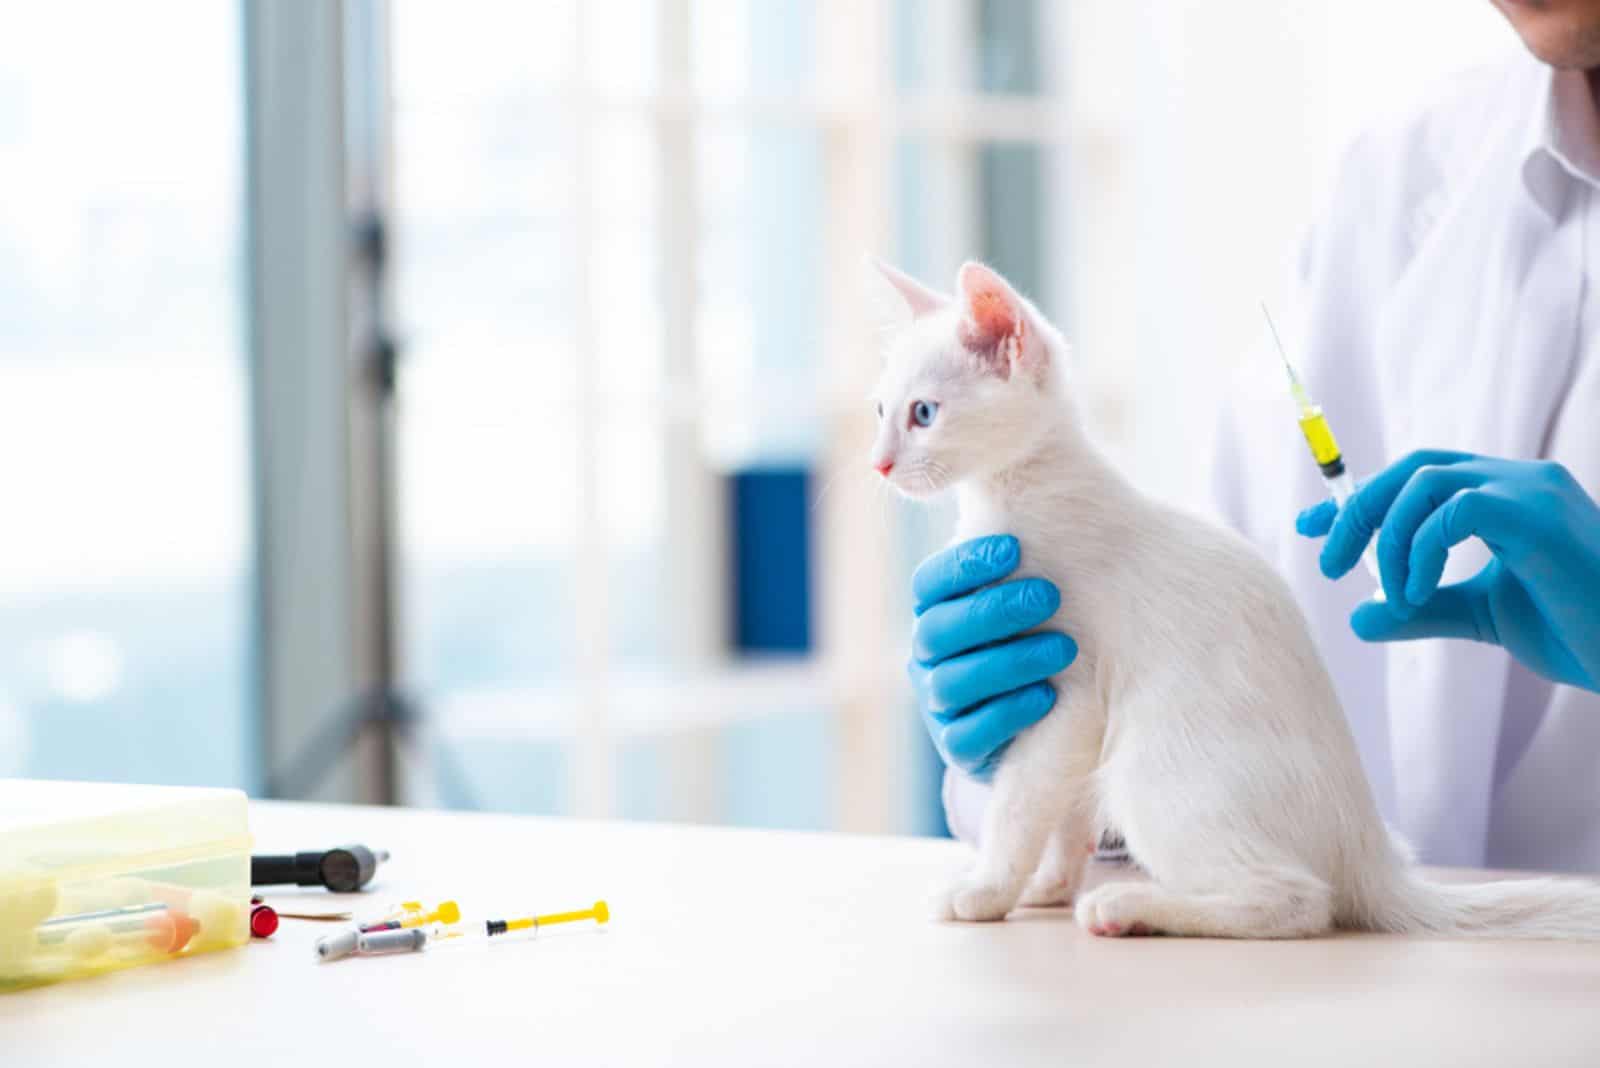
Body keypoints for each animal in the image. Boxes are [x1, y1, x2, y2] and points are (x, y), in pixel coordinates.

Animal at [876, 262, 1600, 940]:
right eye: (881, 410)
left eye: (923, 414)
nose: (879, 464)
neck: (1023, 493)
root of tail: (1366, 848)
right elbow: (1065, 814)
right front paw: (1047, 884)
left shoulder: (1071, 697)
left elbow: (1020, 806)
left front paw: (986, 889)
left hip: (1149, 773)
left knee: (1299, 901)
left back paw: (1128, 907)